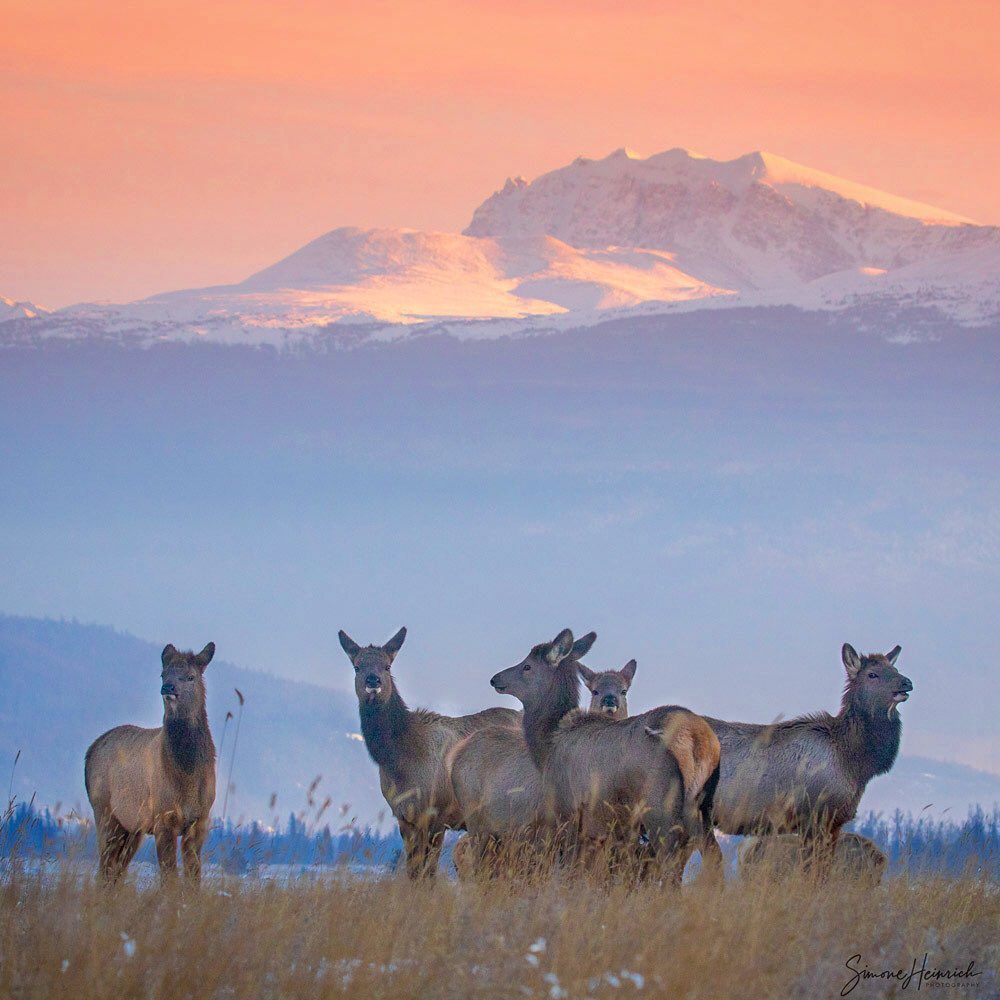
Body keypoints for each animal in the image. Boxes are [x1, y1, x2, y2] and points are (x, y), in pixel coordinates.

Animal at [86, 640, 219, 884]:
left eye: (191, 676)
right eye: (163, 673)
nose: (168, 688)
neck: (188, 775)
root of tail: (90, 751)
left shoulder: (200, 820)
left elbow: (194, 875)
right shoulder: (163, 819)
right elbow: (169, 878)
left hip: (131, 828)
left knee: (116, 870)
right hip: (105, 812)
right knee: (105, 868)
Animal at [340, 628, 520, 880]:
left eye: (387, 666)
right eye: (357, 666)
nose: (373, 680)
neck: (399, 762)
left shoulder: (437, 814)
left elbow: (428, 873)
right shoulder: (405, 819)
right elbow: (414, 872)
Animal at [490, 628, 720, 880]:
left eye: (527, 666)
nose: (495, 679)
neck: (548, 745)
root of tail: (697, 739)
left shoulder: (568, 809)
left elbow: (572, 866)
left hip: (660, 805)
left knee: (670, 859)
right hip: (701, 808)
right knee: (712, 856)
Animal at [708, 644, 912, 872]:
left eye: (895, 669)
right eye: (872, 674)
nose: (907, 683)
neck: (854, 763)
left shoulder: (833, 823)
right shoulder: (814, 816)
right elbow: (811, 873)